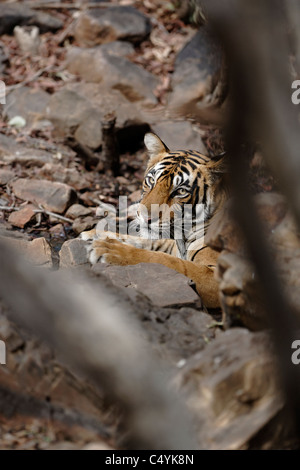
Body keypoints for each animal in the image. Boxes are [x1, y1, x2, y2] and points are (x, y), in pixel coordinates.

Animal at [80, 132, 227, 308]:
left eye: (180, 191)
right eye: (151, 181)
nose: (145, 217)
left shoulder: (217, 277)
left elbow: (163, 260)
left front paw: (109, 251)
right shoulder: (171, 245)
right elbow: (144, 242)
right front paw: (94, 235)